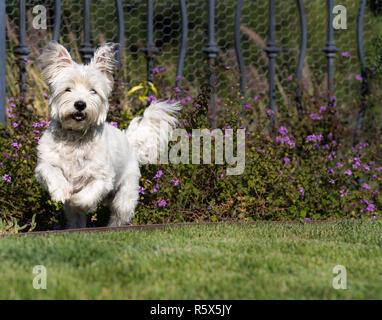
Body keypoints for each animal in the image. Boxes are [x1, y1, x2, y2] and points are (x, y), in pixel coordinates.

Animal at [34, 42, 179, 228]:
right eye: (67, 89)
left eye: (93, 91)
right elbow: (52, 172)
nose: (80, 104)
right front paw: (61, 191)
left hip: (125, 196)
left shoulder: (102, 177)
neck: (76, 137)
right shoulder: (46, 164)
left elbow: (86, 195)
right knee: (76, 220)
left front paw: (76, 200)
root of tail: (128, 141)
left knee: (118, 216)